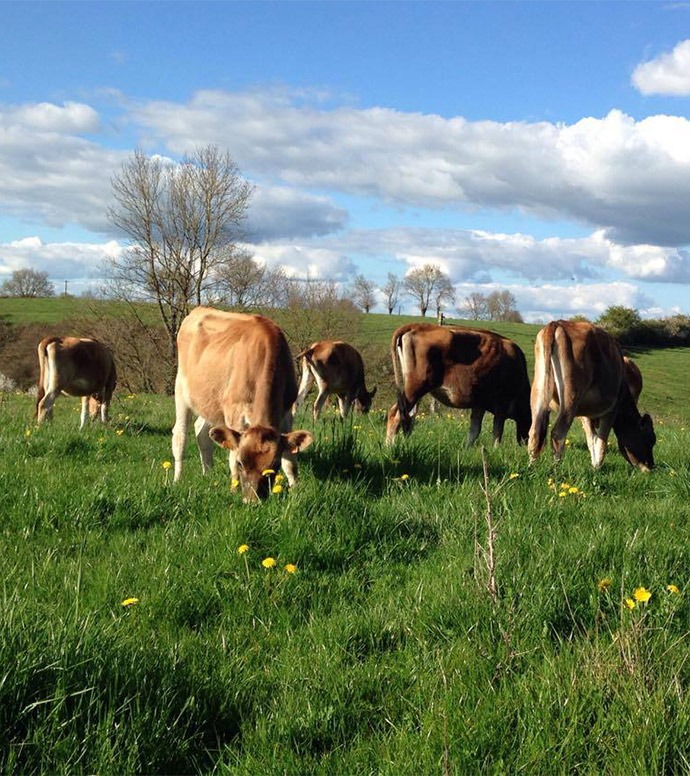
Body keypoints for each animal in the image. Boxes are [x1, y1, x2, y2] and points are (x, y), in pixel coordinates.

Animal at [172, 307, 313, 502]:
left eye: (274, 465)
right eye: (241, 463)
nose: (253, 500)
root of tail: (199, 309)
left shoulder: (286, 414)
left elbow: (290, 461)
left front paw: (295, 491)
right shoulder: (235, 415)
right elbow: (232, 454)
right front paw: (233, 489)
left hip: (212, 401)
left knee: (201, 431)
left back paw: (208, 473)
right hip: (182, 389)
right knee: (180, 435)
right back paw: (177, 480)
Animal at [386, 323, 532, 447]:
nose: (526, 444)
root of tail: (420, 325)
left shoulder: (480, 404)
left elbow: (474, 430)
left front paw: (467, 449)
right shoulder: (502, 402)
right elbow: (497, 432)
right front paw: (496, 450)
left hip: (415, 392)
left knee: (408, 417)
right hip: (414, 388)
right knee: (395, 415)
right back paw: (390, 447)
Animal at [528, 320, 655, 471]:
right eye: (650, 440)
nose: (651, 466)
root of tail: (557, 323)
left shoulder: (585, 415)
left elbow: (592, 441)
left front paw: (594, 466)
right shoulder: (611, 410)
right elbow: (601, 443)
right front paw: (597, 469)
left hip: (539, 390)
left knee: (535, 432)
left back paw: (532, 467)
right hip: (571, 396)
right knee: (558, 433)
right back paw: (555, 470)